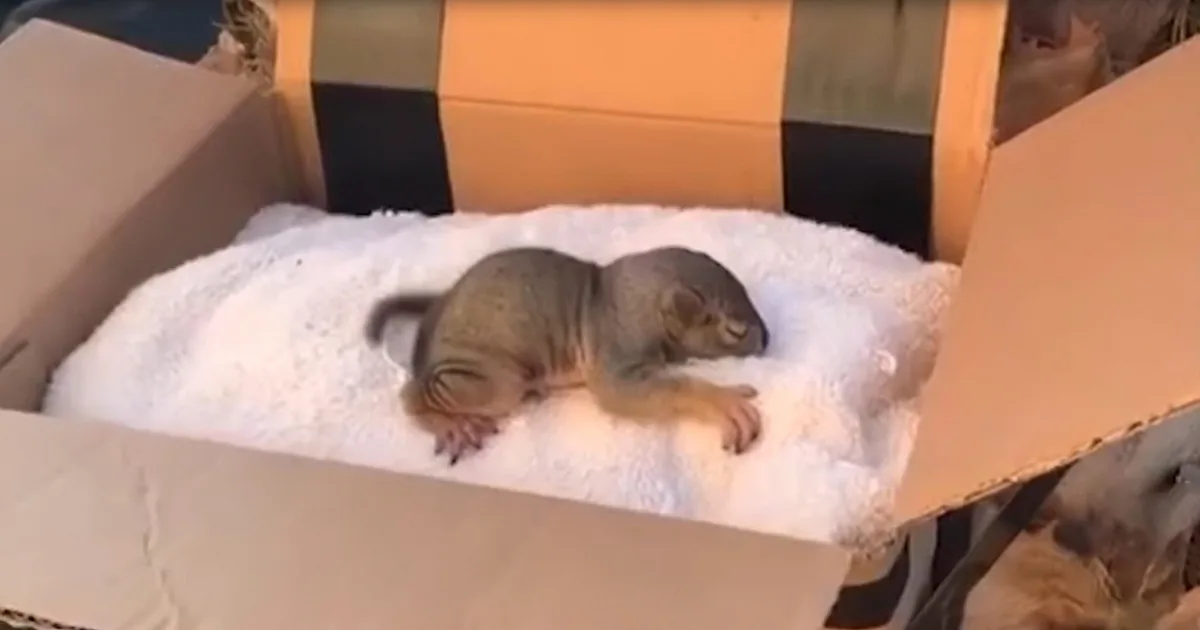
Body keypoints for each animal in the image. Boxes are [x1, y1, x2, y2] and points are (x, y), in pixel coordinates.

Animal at [363, 246, 770, 465]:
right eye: (735, 331)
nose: (767, 339)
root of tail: (441, 304)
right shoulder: (619, 344)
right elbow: (624, 390)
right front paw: (721, 402)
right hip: (496, 380)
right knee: (415, 392)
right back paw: (448, 421)